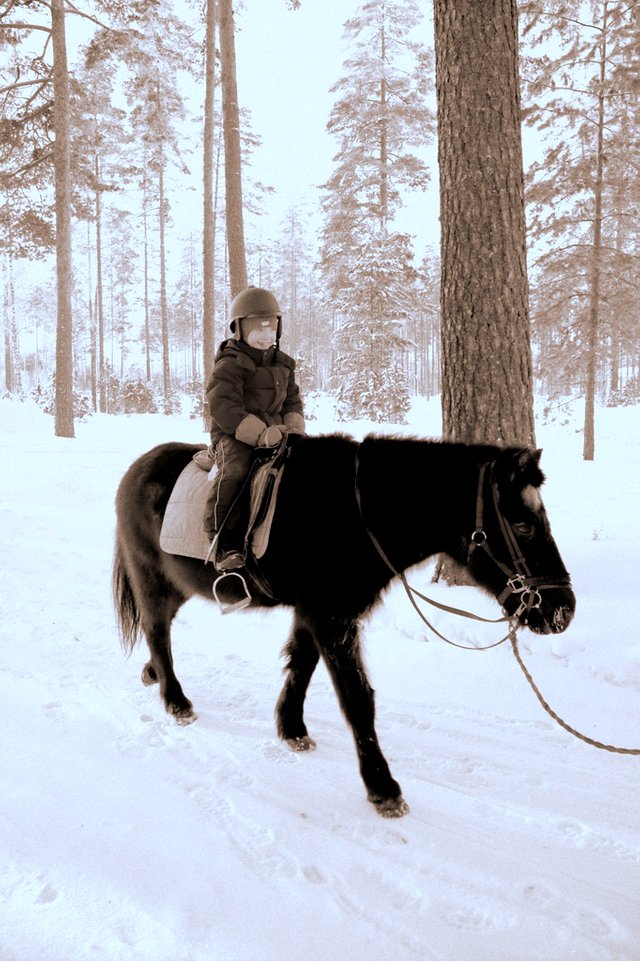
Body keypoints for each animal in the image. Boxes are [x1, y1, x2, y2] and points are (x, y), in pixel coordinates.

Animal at [111, 436, 576, 816]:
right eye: (522, 524)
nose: (563, 610)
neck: (357, 515)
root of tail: (135, 469)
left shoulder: (316, 614)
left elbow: (301, 666)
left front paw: (292, 729)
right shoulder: (330, 617)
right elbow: (357, 699)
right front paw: (383, 788)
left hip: (178, 584)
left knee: (161, 631)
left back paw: (153, 674)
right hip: (152, 577)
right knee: (157, 630)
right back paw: (176, 701)